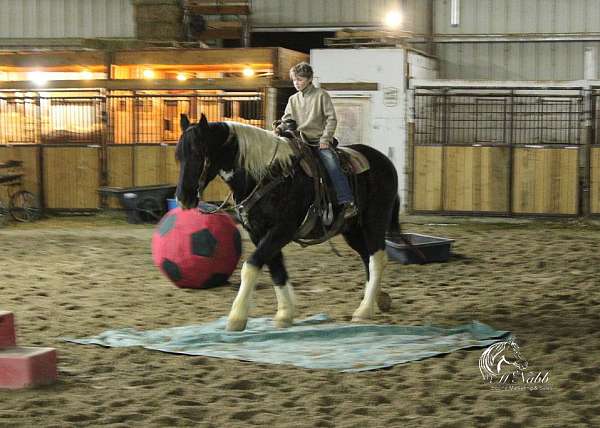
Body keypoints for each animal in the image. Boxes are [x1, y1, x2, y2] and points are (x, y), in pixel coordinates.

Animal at [175, 114, 398, 332]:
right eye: (178, 156)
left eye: (198, 153)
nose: (182, 198)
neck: (269, 175)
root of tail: (385, 161)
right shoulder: (258, 233)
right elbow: (277, 270)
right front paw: (285, 314)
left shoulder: (282, 229)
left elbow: (251, 266)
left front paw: (236, 318)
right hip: (352, 230)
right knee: (367, 257)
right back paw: (378, 300)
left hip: (374, 220)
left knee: (377, 259)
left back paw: (364, 310)